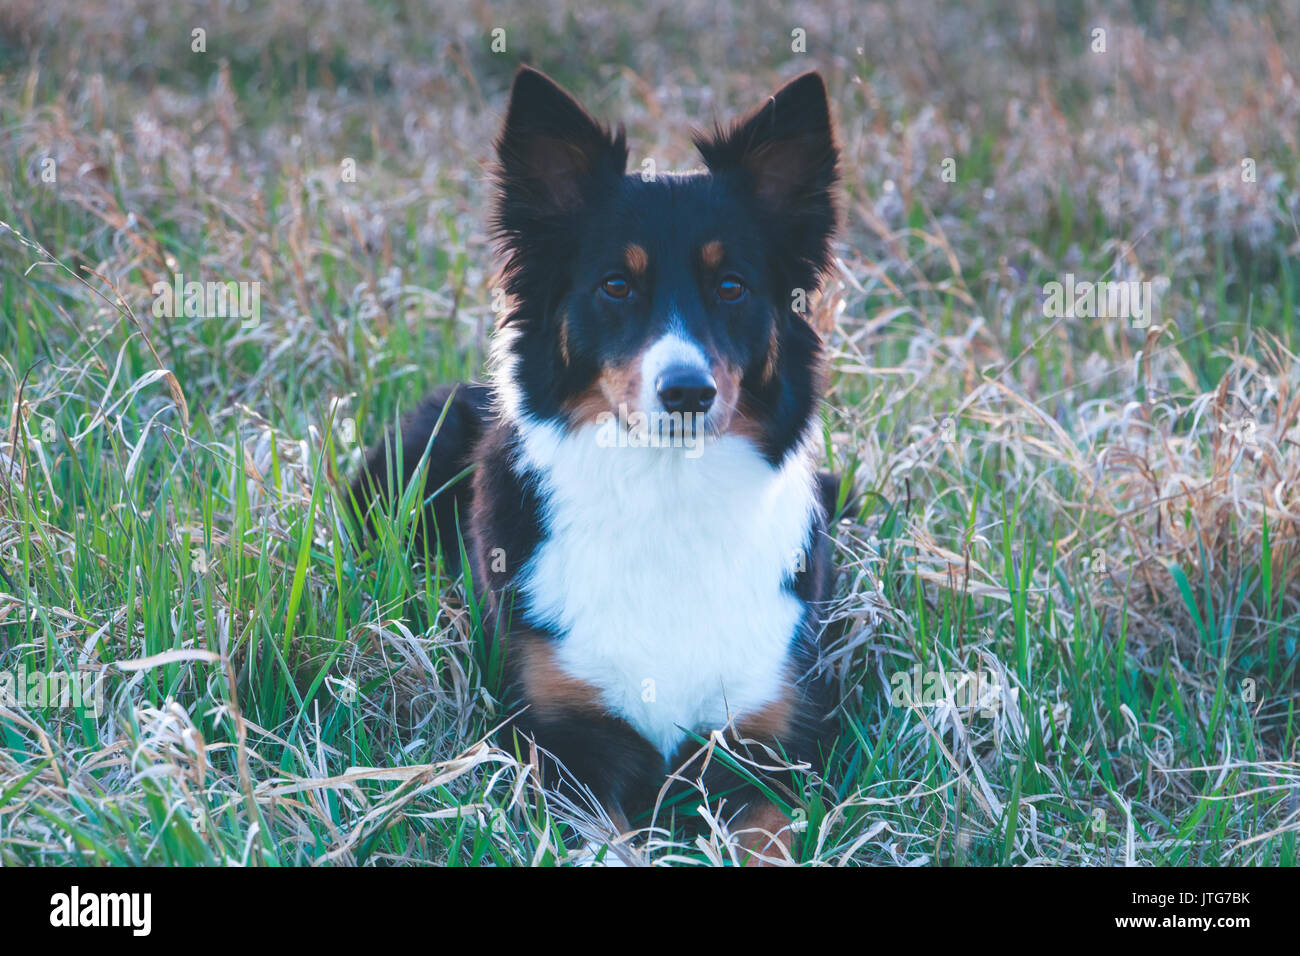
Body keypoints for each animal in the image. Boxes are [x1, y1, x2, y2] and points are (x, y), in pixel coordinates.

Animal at [348, 63, 842, 863]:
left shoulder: (763, 743)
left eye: (731, 286)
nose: (687, 393)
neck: (666, 493)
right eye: (617, 285)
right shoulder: (562, 741)